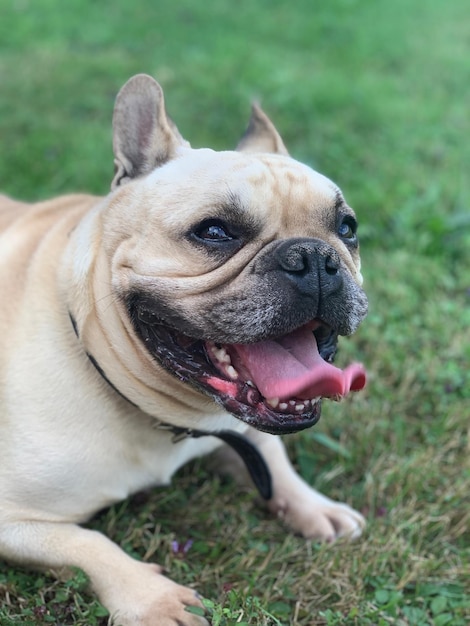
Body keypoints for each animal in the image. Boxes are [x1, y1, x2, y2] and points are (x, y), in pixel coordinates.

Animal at [0, 74, 368, 624]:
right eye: (214, 231)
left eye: (347, 228)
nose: (316, 258)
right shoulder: (15, 519)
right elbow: (86, 544)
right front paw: (155, 600)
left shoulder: (242, 430)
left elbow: (274, 455)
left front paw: (315, 506)